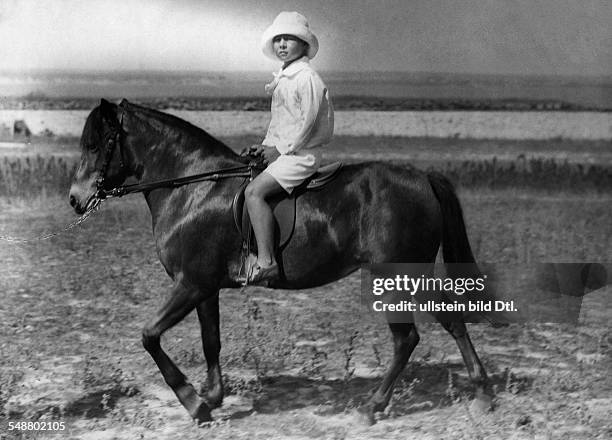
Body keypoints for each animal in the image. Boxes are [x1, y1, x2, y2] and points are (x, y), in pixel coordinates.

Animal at [69, 99, 490, 422]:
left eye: (96, 144)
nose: (76, 199)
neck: (194, 187)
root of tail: (422, 178)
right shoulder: (204, 288)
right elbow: (211, 341)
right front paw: (213, 398)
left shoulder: (190, 283)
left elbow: (150, 336)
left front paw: (194, 404)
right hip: (410, 275)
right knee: (447, 321)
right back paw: (481, 391)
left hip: (396, 276)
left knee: (408, 338)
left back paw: (373, 407)